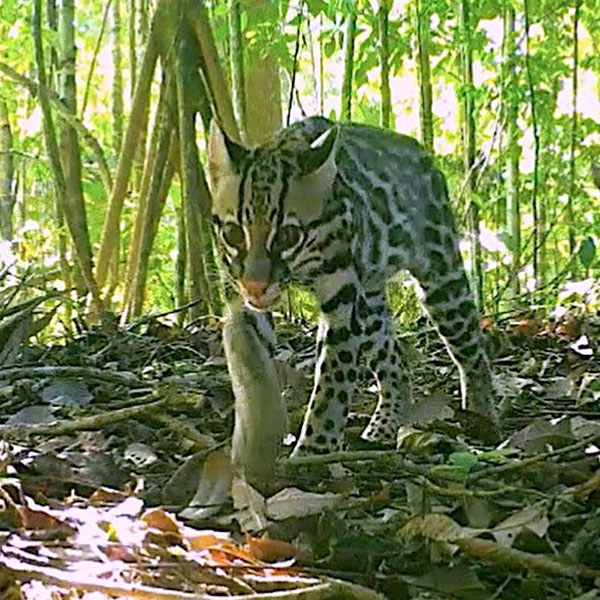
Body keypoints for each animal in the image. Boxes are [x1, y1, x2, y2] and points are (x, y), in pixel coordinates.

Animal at [206, 117, 496, 454]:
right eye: (232, 233)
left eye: (288, 236)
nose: (255, 286)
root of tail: (418, 149)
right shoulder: (243, 302)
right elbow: (249, 369)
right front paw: (254, 445)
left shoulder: (342, 302)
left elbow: (331, 391)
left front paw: (313, 451)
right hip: (370, 302)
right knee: (397, 365)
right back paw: (384, 426)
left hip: (441, 280)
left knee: (473, 351)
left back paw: (481, 415)